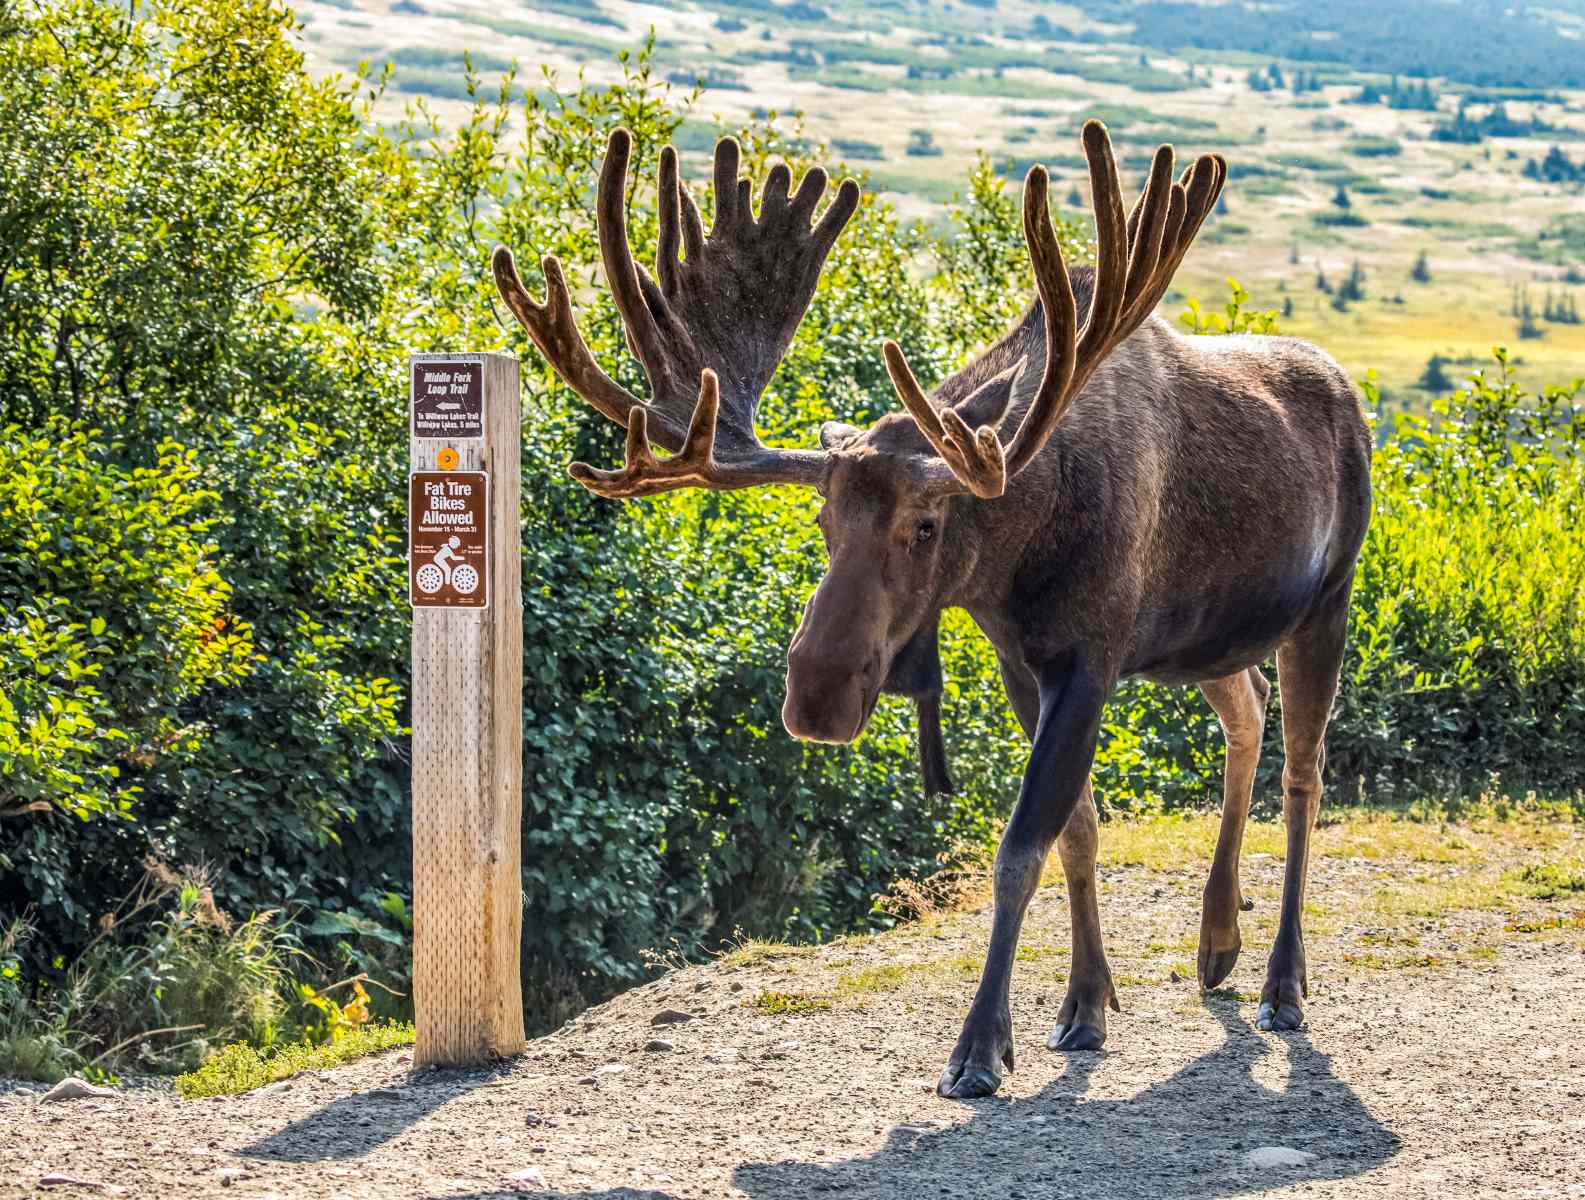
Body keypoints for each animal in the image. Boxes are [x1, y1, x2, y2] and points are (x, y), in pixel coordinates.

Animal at [492, 122, 1373, 1099]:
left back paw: (1282, 981)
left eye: (925, 524)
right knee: (1245, 716)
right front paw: (1086, 1001)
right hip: (1209, 641)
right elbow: (1078, 829)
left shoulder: (1091, 659)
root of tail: (1351, 394)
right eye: (822, 518)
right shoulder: (1023, 660)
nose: (815, 694)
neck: (1022, 546)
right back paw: (1216, 940)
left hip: (1325, 602)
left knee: (1305, 773)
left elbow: (1019, 848)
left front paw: (980, 1046)